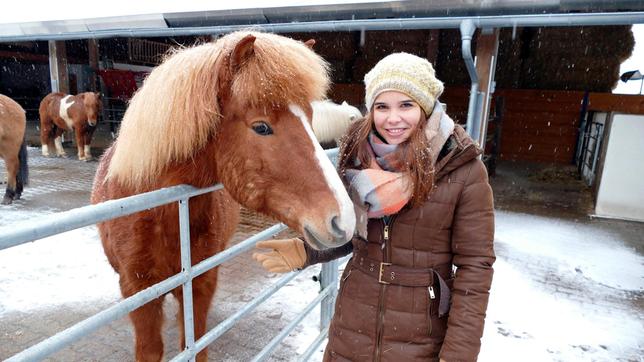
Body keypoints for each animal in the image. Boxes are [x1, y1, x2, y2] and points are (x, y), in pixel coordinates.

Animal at [90, 31, 354, 362]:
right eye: (261, 127)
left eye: (310, 117)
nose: (344, 218)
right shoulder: (139, 293)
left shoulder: (200, 284)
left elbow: (196, 343)